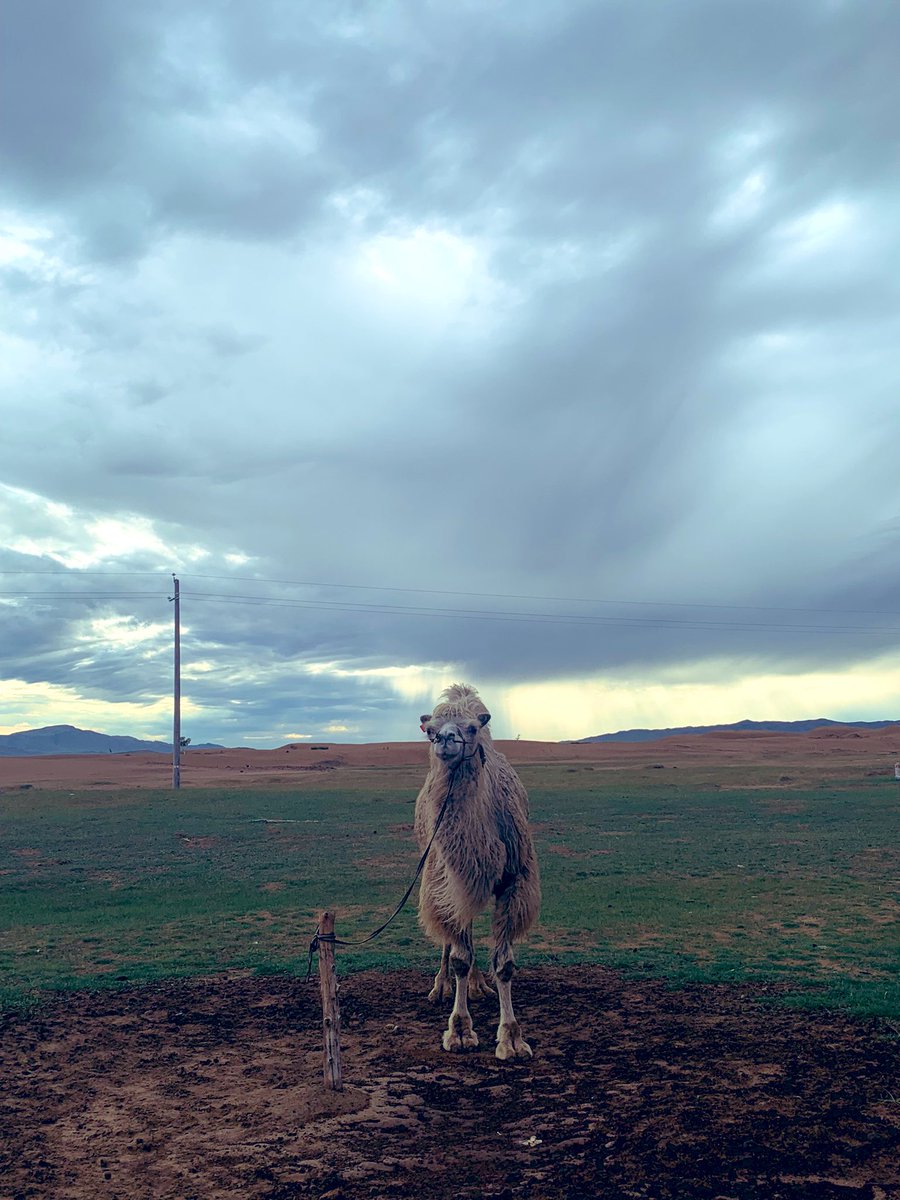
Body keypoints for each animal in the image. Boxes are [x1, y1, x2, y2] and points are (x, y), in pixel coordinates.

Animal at [415, 686, 542, 1060]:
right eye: (430, 730)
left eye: (471, 728)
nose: (445, 739)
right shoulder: (450, 883)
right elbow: (459, 956)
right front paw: (459, 1030)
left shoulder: (514, 882)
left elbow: (505, 964)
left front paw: (511, 1037)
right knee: (452, 939)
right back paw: (441, 987)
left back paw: (477, 985)